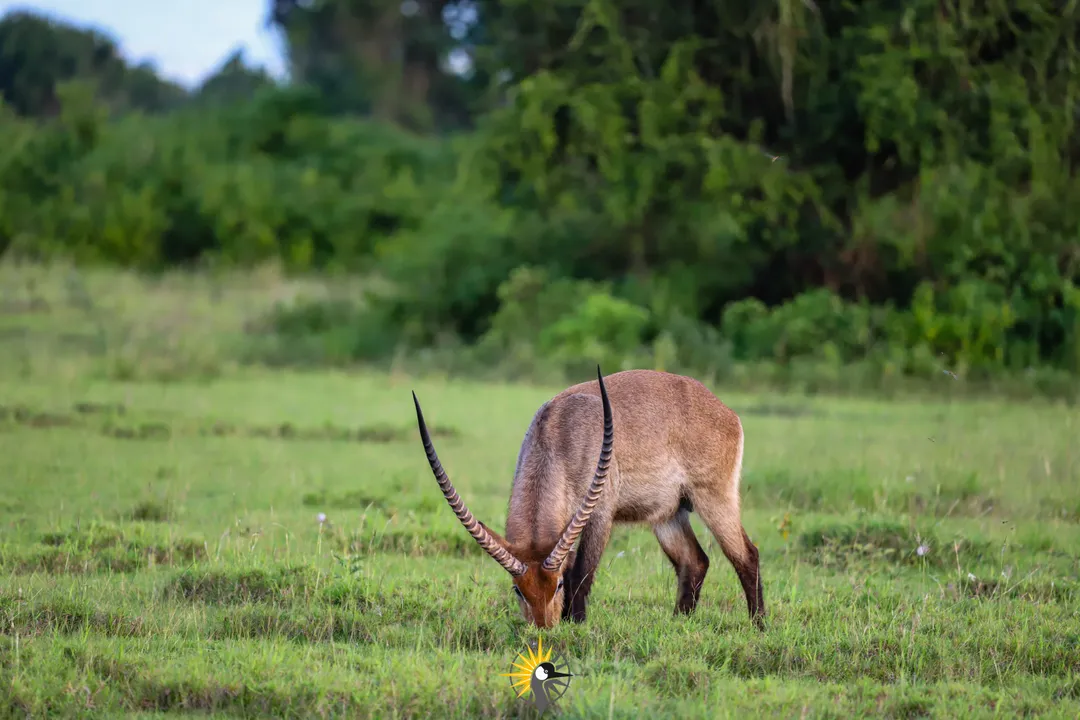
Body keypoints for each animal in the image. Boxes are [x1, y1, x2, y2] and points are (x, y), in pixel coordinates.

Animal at [408, 369, 764, 626]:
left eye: (557, 588)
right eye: (518, 590)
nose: (543, 629)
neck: (558, 436)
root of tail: (726, 411)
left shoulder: (599, 514)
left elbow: (581, 573)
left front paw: (575, 624)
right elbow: (571, 568)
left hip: (713, 498)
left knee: (746, 555)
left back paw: (757, 626)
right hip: (668, 514)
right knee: (695, 561)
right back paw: (678, 624)